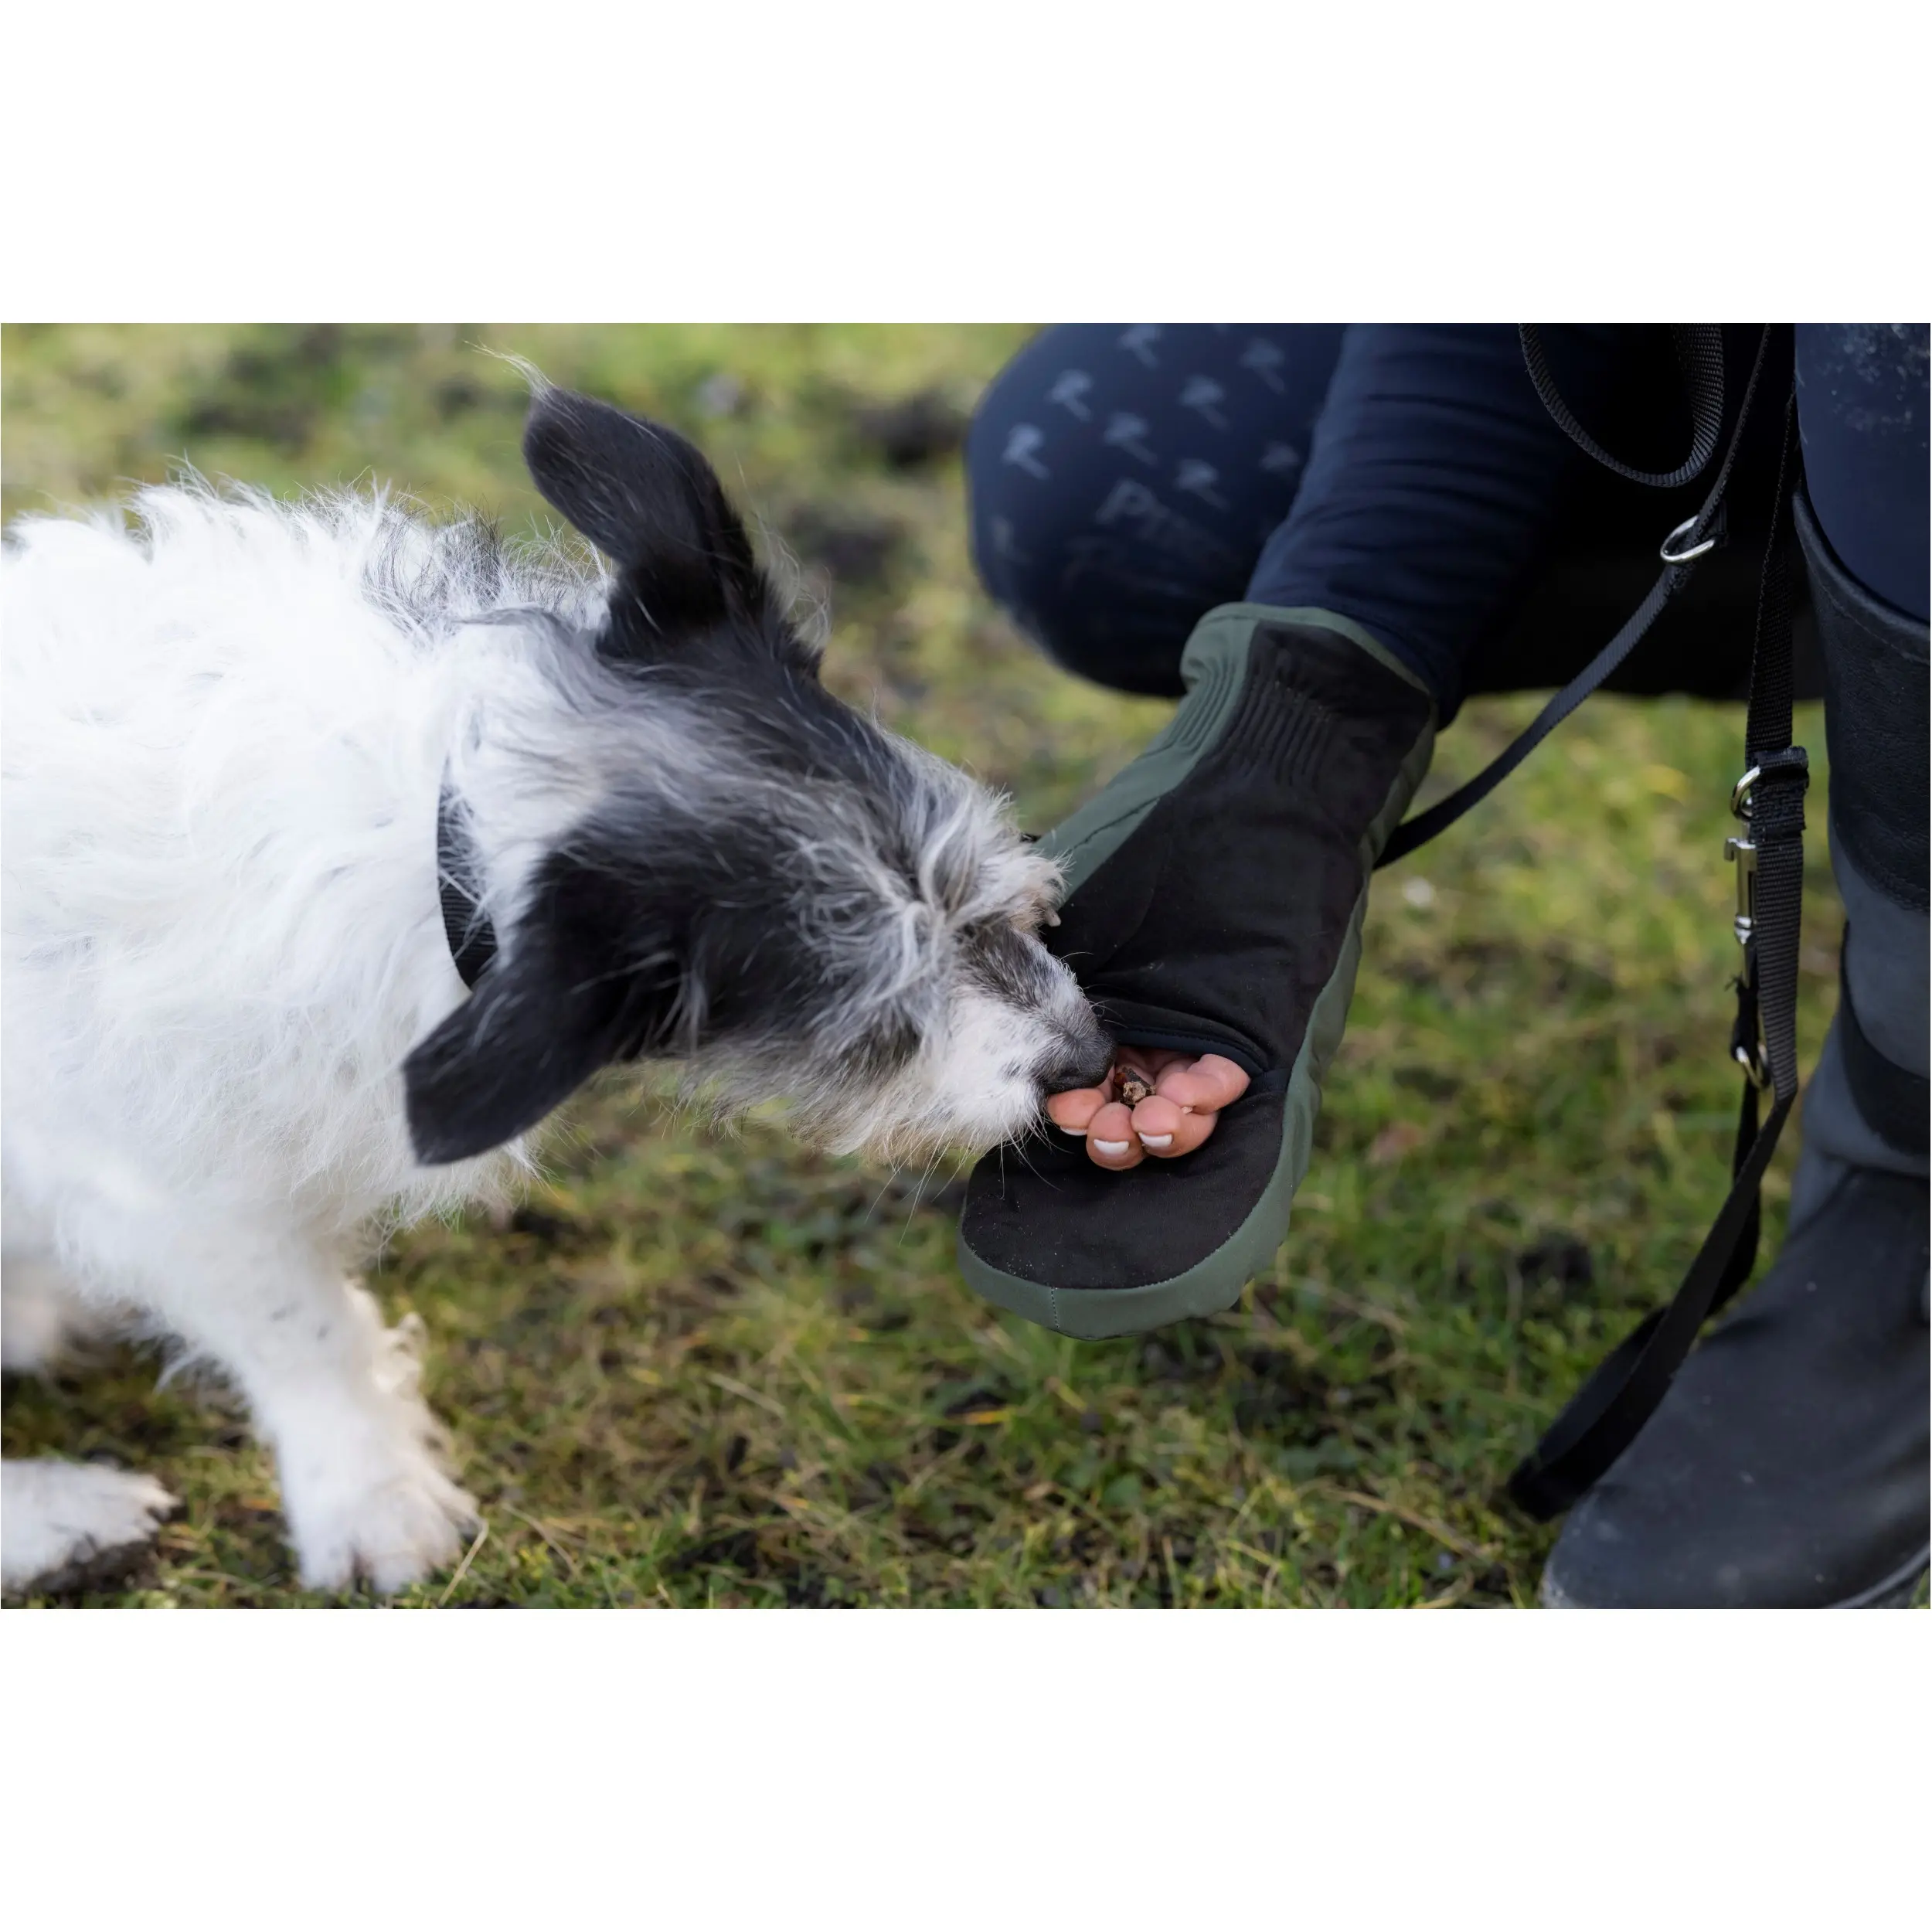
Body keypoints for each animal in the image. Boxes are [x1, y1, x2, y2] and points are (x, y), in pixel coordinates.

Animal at [0, 380, 1113, 1600]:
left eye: (975, 876)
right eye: (875, 1015)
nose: (1090, 1060)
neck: (446, 830)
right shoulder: (163, 1189)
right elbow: (303, 1328)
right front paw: (376, 1498)